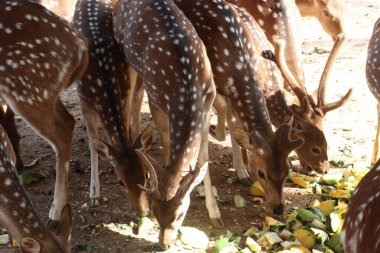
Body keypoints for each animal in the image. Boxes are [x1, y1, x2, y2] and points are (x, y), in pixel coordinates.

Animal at [0, 0, 88, 226]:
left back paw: (55, 212)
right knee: (68, 120)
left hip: (27, 88)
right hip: (44, 91)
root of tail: (81, 44)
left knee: (62, 132)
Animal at [72, 0, 152, 214]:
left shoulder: (126, 86)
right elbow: (93, 144)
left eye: (145, 176)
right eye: (120, 182)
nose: (143, 211)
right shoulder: (84, 101)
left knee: (139, 98)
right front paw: (94, 195)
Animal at [112, 0, 217, 249]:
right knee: (132, 97)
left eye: (180, 215)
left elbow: (204, 156)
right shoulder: (157, 100)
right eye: (155, 212)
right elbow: (168, 144)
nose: (164, 244)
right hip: (124, 51)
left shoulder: (210, 98)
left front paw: (213, 210)